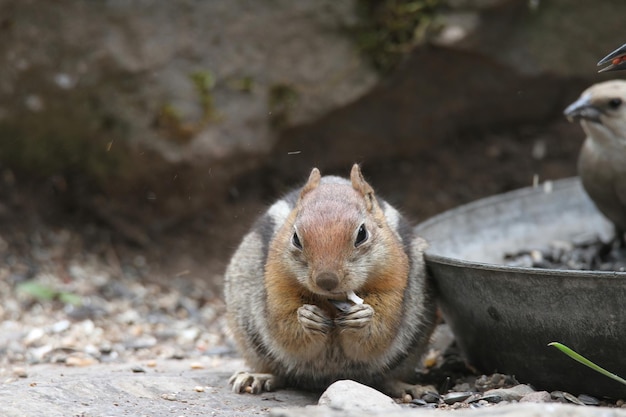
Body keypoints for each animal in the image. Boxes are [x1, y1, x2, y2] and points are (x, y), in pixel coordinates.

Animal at [223, 162, 434, 396]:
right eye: (295, 238)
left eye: (362, 233)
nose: (326, 280)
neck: (333, 300)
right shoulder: (278, 287)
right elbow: (286, 328)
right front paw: (307, 317)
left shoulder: (392, 286)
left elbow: (380, 330)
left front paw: (363, 316)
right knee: (278, 371)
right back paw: (258, 376)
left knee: (386, 379)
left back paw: (409, 388)